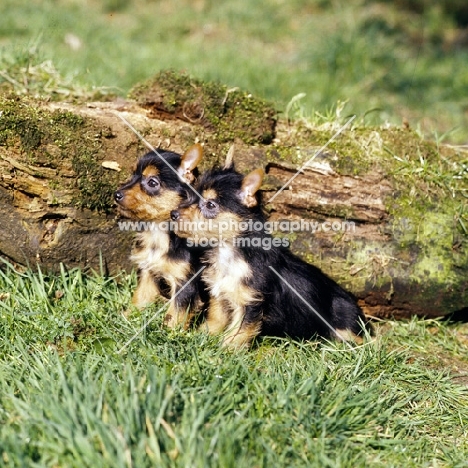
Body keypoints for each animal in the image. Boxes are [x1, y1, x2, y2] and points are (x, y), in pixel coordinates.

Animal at [115, 144, 205, 328]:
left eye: (152, 182)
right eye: (132, 175)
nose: (116, 194)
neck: (158, 231)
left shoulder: (185, 283)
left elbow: (175, 315)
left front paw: (169, 333)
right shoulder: (148, 272)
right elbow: (140, 298)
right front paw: (126, 320)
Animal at [172, 165, 370, 348]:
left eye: (210, 205)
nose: (173, 214)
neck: (228, 251)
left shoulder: (251, 303)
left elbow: (239, 331)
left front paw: (227, 350)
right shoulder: (221, 295)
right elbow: (215, 319)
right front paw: (202, 336)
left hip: (345, 324)